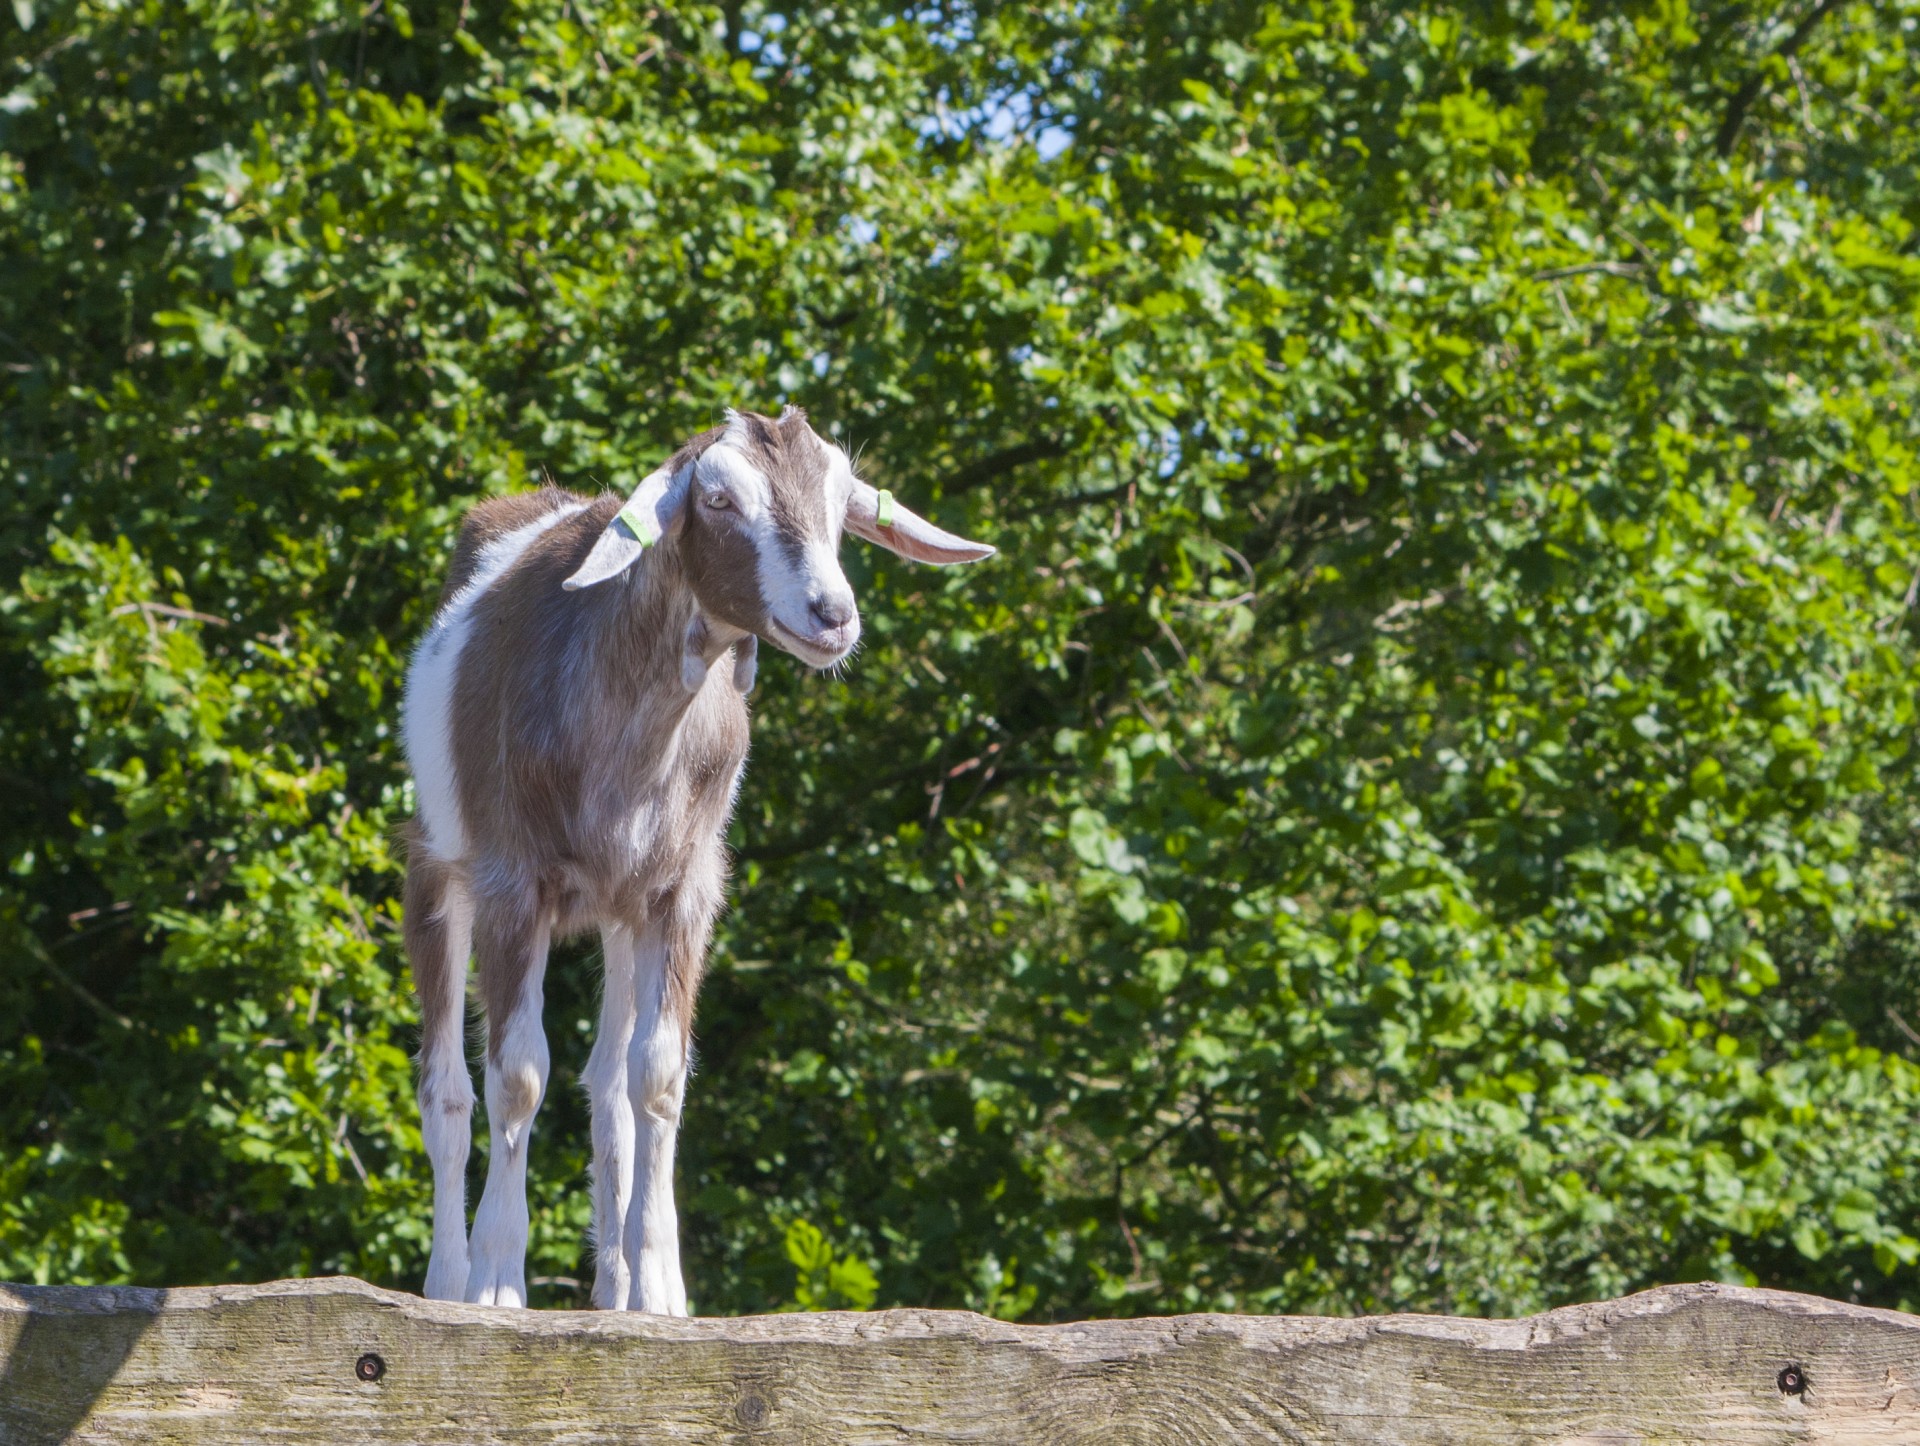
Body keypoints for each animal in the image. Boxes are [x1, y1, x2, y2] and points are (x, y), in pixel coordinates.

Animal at [399, 407, 998, 1305]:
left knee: (606, 1085)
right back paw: (447, 1283)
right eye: (717, 499)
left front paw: (659, 1290)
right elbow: (517, 1075)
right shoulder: (514, 881)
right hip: (437, 867)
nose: (832, 614)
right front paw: (499, 1285)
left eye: (839, 501)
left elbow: (657, 1076)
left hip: (618, 910)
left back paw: (611, 1292)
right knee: (447, 1090)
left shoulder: (682, 890)